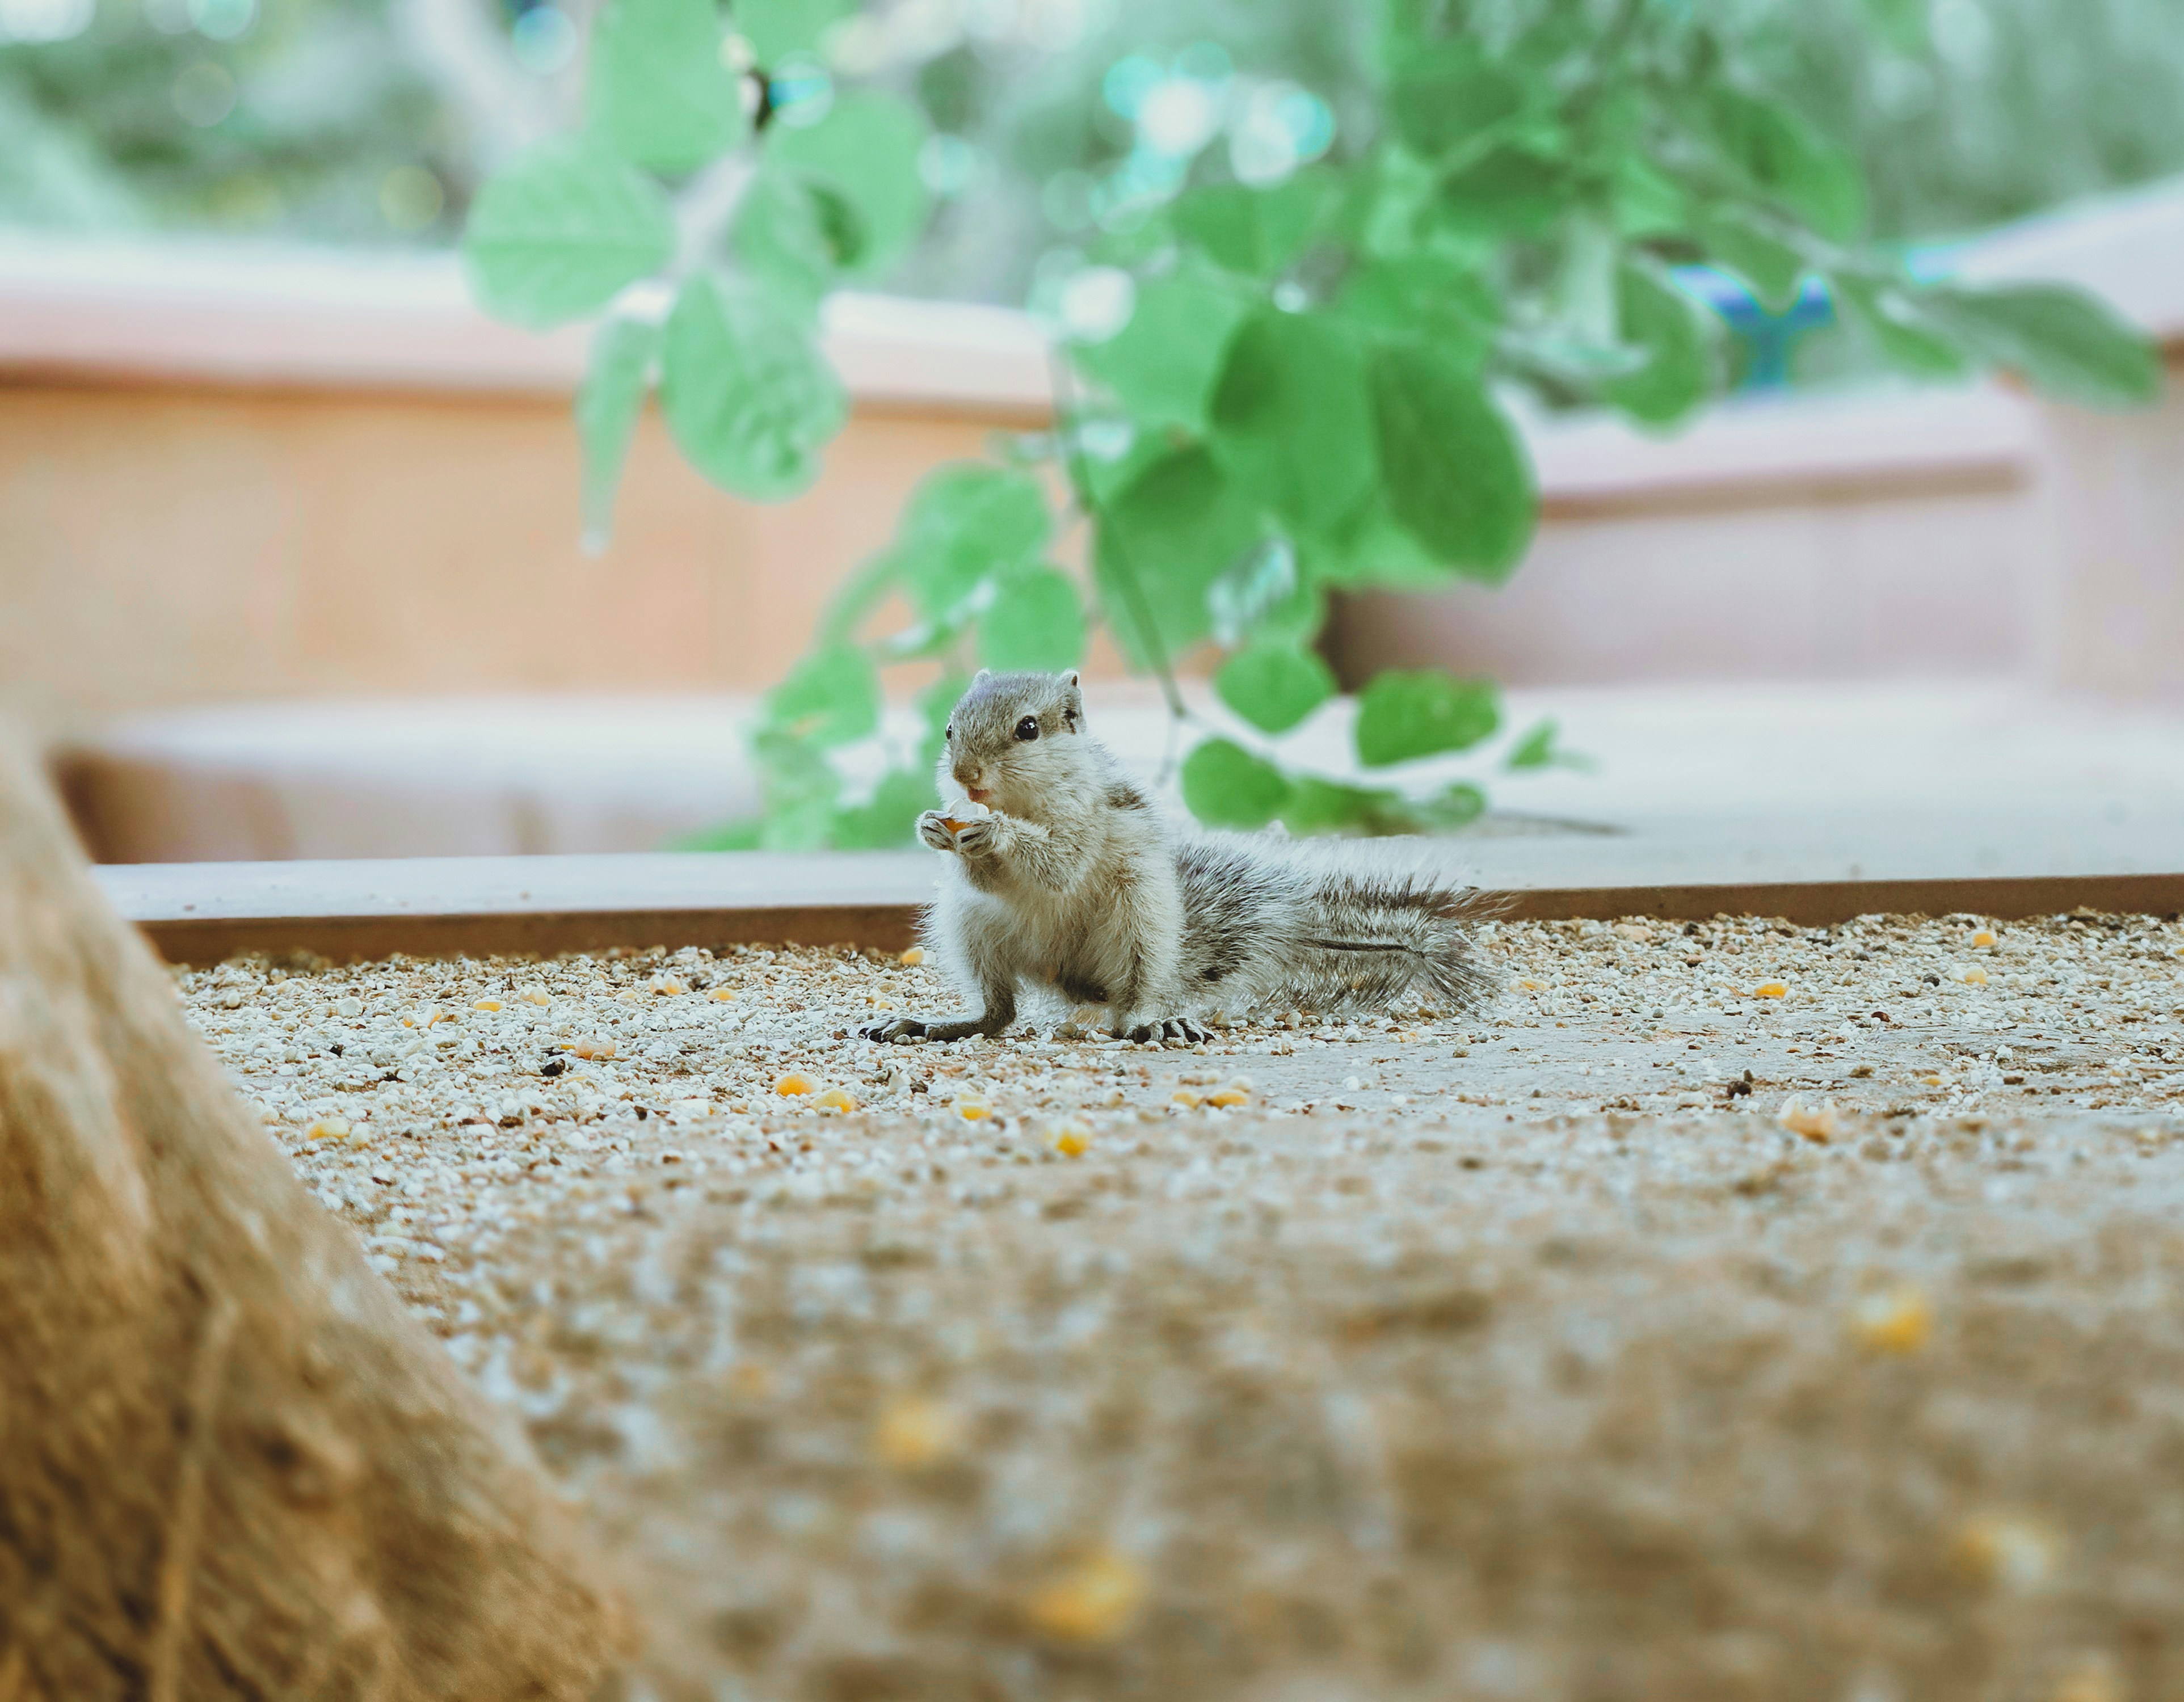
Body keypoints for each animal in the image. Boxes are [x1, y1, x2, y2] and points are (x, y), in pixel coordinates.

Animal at [860, 670, 1497, 1046]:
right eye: (949, 729)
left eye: (1028, 729)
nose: (965, 775)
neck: (1022, 800)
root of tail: (1075, 982)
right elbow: (985, 879)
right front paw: (933, 827)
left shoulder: (1087, 821)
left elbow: (1059, 864)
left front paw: (996, 833)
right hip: (972, 928)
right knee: (1000, 1012)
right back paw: (934, 1024)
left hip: (1137, 922)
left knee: (1134, 999)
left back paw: (1153, 1021)